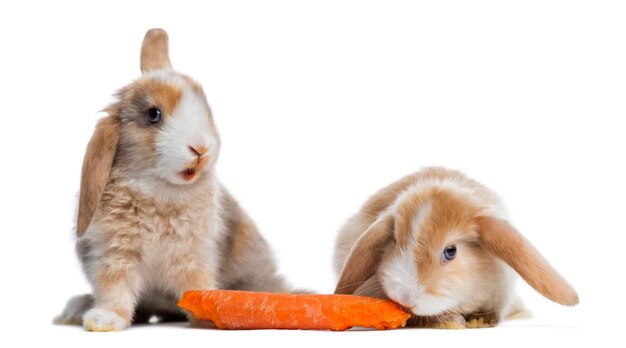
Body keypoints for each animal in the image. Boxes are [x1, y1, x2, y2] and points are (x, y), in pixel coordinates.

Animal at [53, 29, 288, 332]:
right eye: (154, 115)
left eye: (206, 109)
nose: (201, 148)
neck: (159, 188)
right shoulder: (115, 254)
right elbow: (116, 289)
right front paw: (104, 320)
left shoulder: (193, 257)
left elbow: (196, 286)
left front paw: (208, 314)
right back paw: (77, 308)